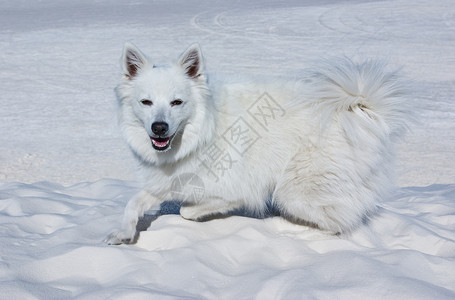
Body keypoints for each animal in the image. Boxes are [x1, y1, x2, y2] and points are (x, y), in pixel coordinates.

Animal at [106, 41, 410, 244]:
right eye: (146, 102)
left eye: (176, 102)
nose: (159, 127)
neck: (202, 130)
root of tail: (358, 109)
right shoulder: (167, 180)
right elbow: (133, 203)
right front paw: (122, 234)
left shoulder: (234, 189)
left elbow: (187, 211)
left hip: (295, 191)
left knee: (341, 221)